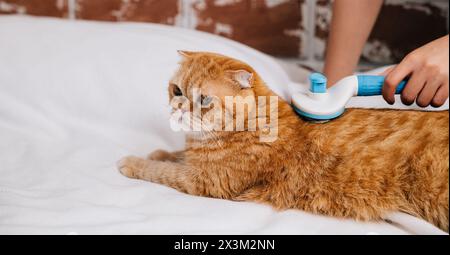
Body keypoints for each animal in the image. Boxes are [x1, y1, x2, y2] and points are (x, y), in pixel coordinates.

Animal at [118, 50, 448, 232]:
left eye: (204, 100)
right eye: (176, 90)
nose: (178, 107)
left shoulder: (203, 182)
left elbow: (162, 171)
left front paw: (133, 161)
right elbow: (172, 156)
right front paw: (159, 151)